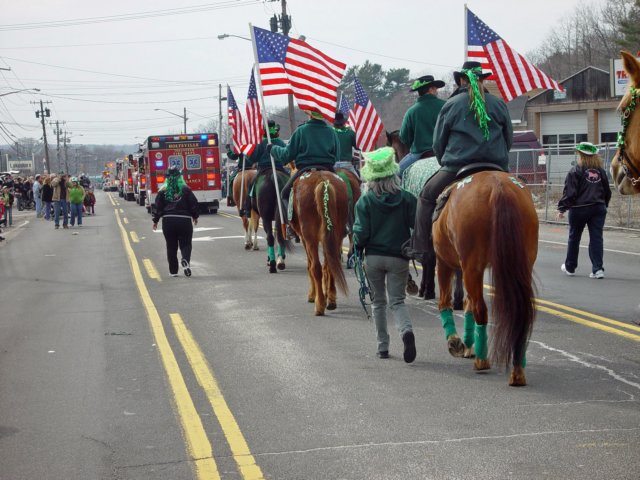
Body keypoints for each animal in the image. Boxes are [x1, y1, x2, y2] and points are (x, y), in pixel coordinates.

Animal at [292, 171, 350, 316]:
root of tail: (323, 181)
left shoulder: (304, 239)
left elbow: (310, 266)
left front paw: (313, 295)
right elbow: (326, 266)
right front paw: (327, 294)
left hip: (310, 238)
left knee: (315, 267)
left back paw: (319, 305)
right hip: (336, 235)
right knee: (331, 264)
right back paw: (331, 300)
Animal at [432, 172, 536, 386]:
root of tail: (498, 187)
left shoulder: (444, 262)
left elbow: (446, 302)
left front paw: (455, 342)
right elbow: (466, 304)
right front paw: (467, 346)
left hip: (471, 266)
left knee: (480, 308)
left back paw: (482, 361)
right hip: (522, 266)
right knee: (520, 312)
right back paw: (517, 370)